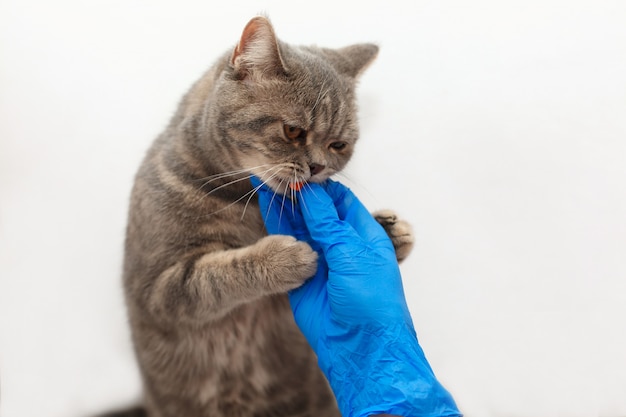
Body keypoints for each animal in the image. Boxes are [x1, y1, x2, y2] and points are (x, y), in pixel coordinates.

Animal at [112, 14, 414, 416]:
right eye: (293, 131)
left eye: (338, 145)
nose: (318, 166)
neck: (249, 204)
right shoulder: (159, 287)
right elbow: (217, 275)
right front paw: (281, 257)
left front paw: (386, 232)